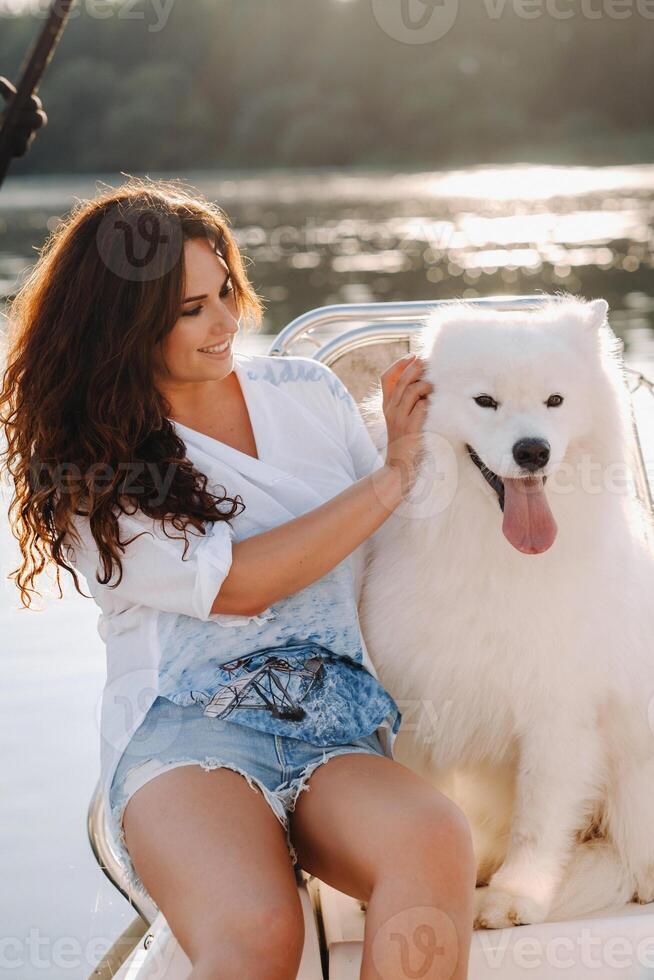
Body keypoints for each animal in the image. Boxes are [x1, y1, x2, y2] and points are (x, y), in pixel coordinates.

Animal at [362, 294, 654, 932]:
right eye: (485, 401)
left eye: (555, 401)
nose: (532, 450)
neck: (493, 555)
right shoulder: (421, 705)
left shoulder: (559, 714)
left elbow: (539, 820)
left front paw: (515, 898)